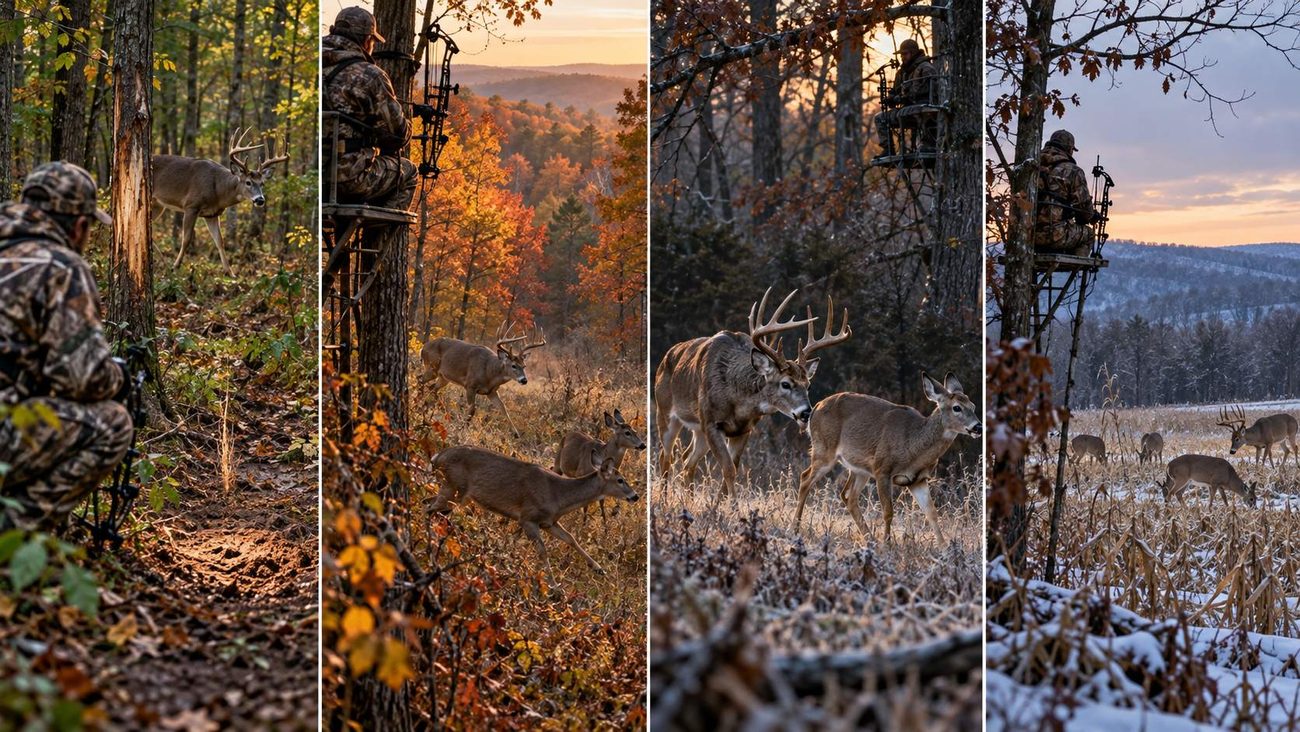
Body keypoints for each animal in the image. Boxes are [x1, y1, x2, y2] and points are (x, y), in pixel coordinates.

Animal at [151, 128, 289, 274]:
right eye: (248, 182)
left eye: (262, 183)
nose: (260, 200)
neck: (217, 190)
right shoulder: (191, 205)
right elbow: (186, 239)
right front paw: (175, 266)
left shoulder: (212, 214)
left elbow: (220, 241)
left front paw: (230, 272)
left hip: (158, 205)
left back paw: (161, 259)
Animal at [428, 445, 639, 579]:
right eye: (620, 480)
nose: (635, 496)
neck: (559, 495)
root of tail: (437, 456)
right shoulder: (528, 518)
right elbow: (543, 552)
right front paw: (554, 587)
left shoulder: (549, 522)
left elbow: (571, 538)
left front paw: (598, 568)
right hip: (453, 487)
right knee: (429, 509)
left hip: (455, 494)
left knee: (431, 506)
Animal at [654, 287, 851, 496]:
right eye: (785, 384)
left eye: (808, 385)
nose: (806, 412)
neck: (736, 400)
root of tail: (666, 356)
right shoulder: (712, 423)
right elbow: (728, 470)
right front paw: (732, 505)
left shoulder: (743, 430)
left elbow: (732, 469)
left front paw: (721, 503)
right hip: (665, 412)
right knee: (666, 456)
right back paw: (663, 498)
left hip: (698, 430)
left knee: (687, 460)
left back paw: (688, 498)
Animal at [793, 372, 981, 543]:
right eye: (957, 407)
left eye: (973, 406)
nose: (978, 426)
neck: (913, 447)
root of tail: (816, 407)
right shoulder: (882, 469)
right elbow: (888, 511)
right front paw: (887, 544)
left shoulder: (917, 479)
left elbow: (931, 513)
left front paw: (944, 548)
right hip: (824, 450)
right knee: (805, 478)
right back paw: (795, 528)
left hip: (860, 469)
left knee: (848, 496)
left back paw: (869, 538)